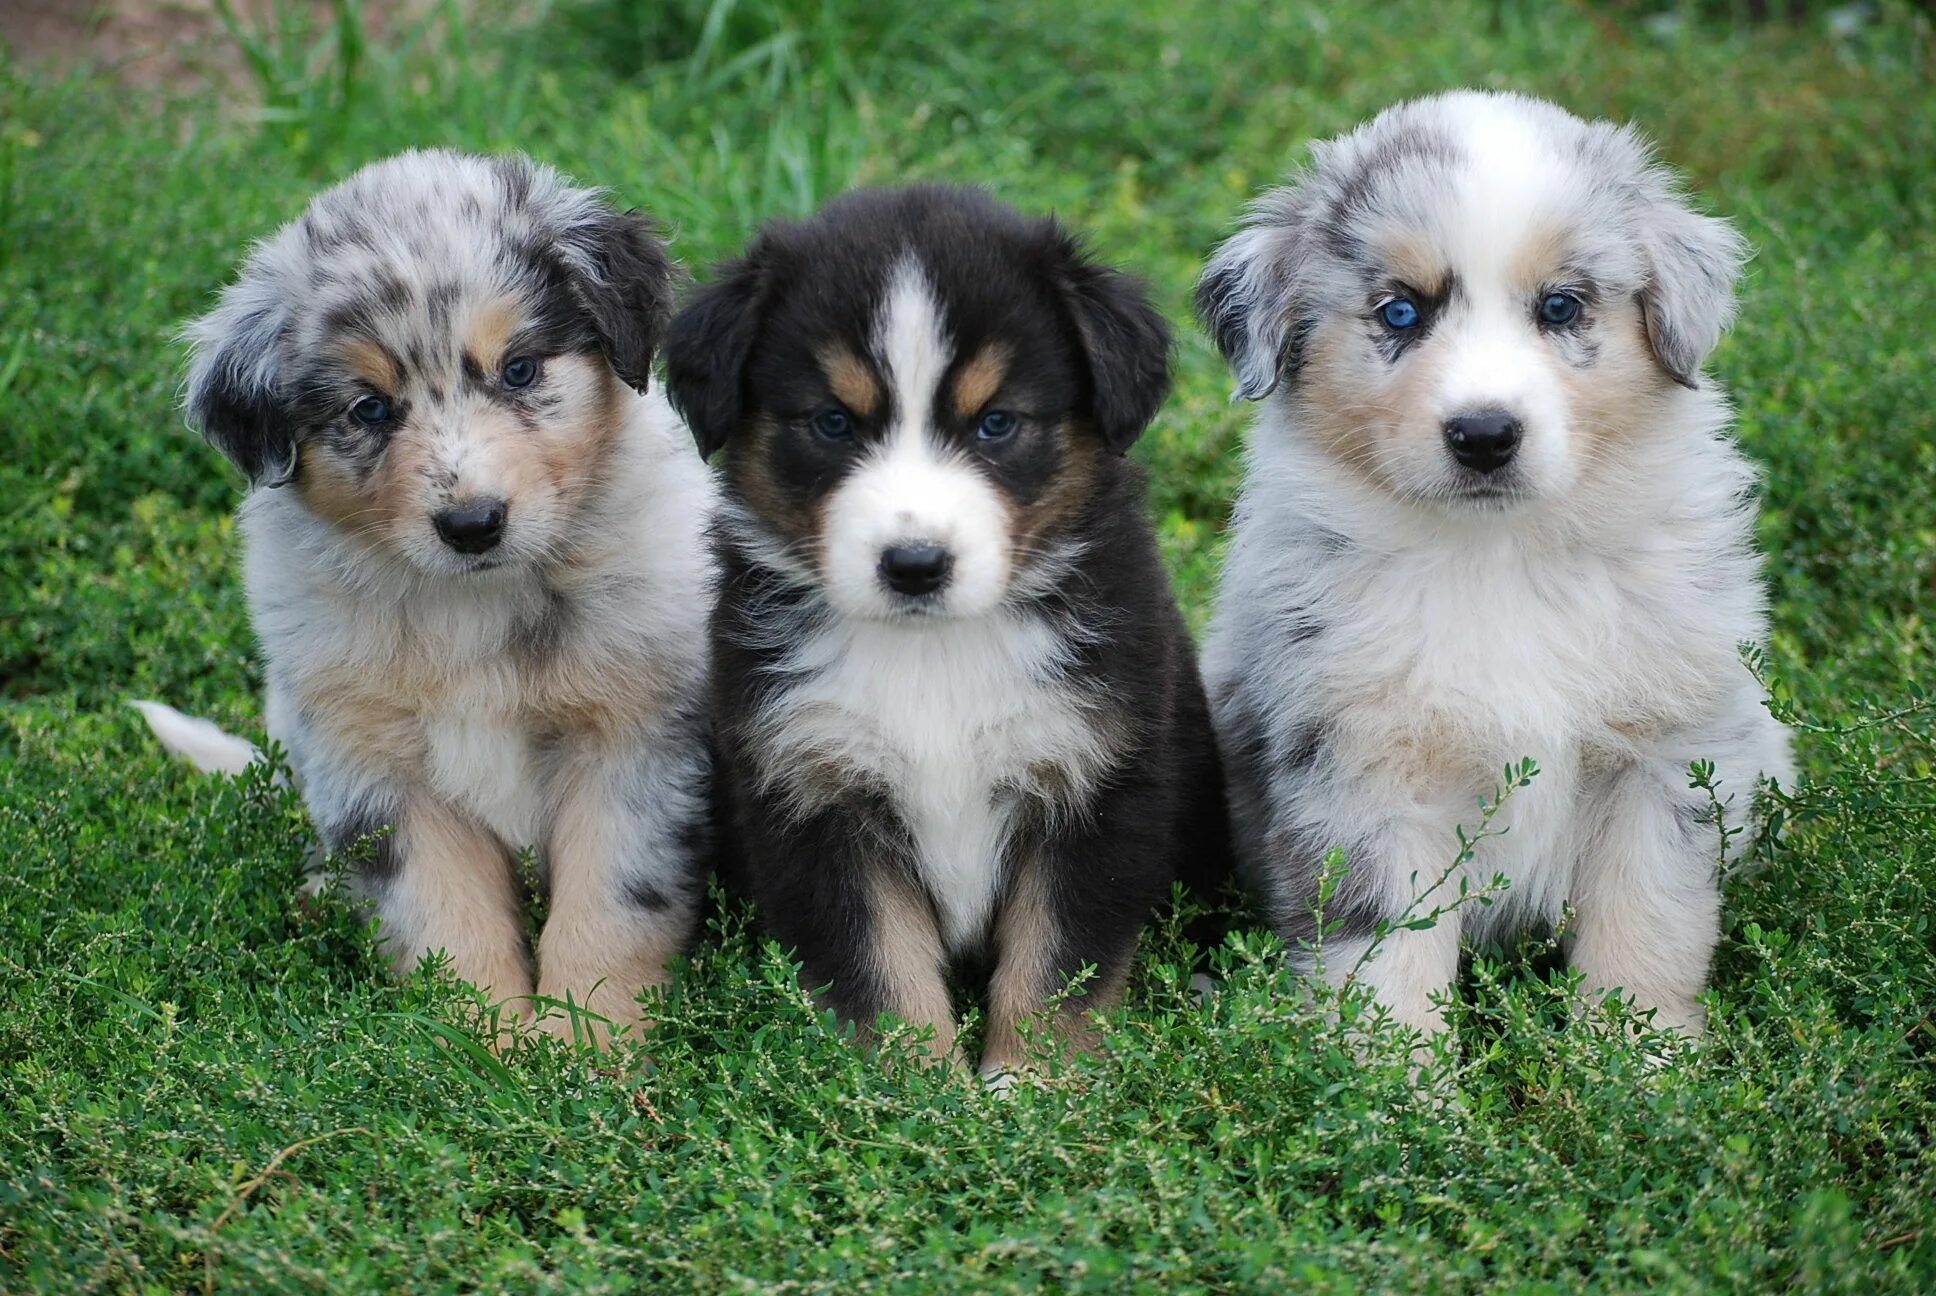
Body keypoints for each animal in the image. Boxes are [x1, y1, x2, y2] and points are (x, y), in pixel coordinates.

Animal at [140, 149, 720, 1038]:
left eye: (520, 369)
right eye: (369, 409)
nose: (472, 525)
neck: (474, 605)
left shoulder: (633, 742)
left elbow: (606, 916)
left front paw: (585, 1050)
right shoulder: (377, 770)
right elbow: (448, 922)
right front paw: (488, 1047)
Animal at [658, 182, 1215, 1084]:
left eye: (997, 423)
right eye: (833, 423)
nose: (915, 565)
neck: (933, 651)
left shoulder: (1097, 782)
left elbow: (1055, 960)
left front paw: (1031, 1083)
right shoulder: (814, 790)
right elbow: (879, 963)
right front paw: (918, 1088)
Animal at [1200, 93, 1788, 1038]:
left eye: (1561, 307)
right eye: (1401, 313)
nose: (1483, 435)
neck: (1502, 555)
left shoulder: (1668, 755)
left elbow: (1647, 923)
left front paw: (1640, 1055)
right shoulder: (1364, 771)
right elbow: (1385, 956)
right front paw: (1394, 1077)